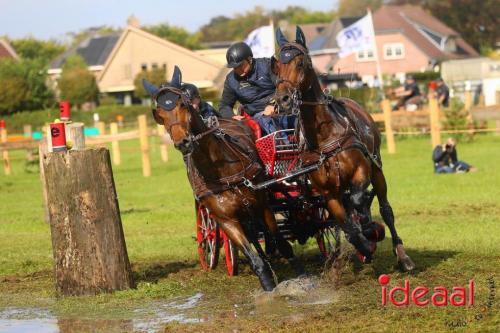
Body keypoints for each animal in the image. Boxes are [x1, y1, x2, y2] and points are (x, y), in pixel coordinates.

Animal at [143, 66, 302, 290]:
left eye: (182, 104)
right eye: (159, 113)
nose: (183, 142)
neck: (222, 173)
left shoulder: (262, 205)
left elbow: (283, 244)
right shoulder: (227, 221)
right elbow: (256, 261)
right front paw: (269, 283)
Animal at [272, 26, 416, 270]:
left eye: (301, 63)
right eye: (276, 66)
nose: (282, 99)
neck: (325, 137)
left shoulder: (361, 171)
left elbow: (359, 201)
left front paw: (368, 228)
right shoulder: (328, 193)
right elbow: (345, 224)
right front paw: (364, 245)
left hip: (376, 167)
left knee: (385, 209)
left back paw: (402, 255)